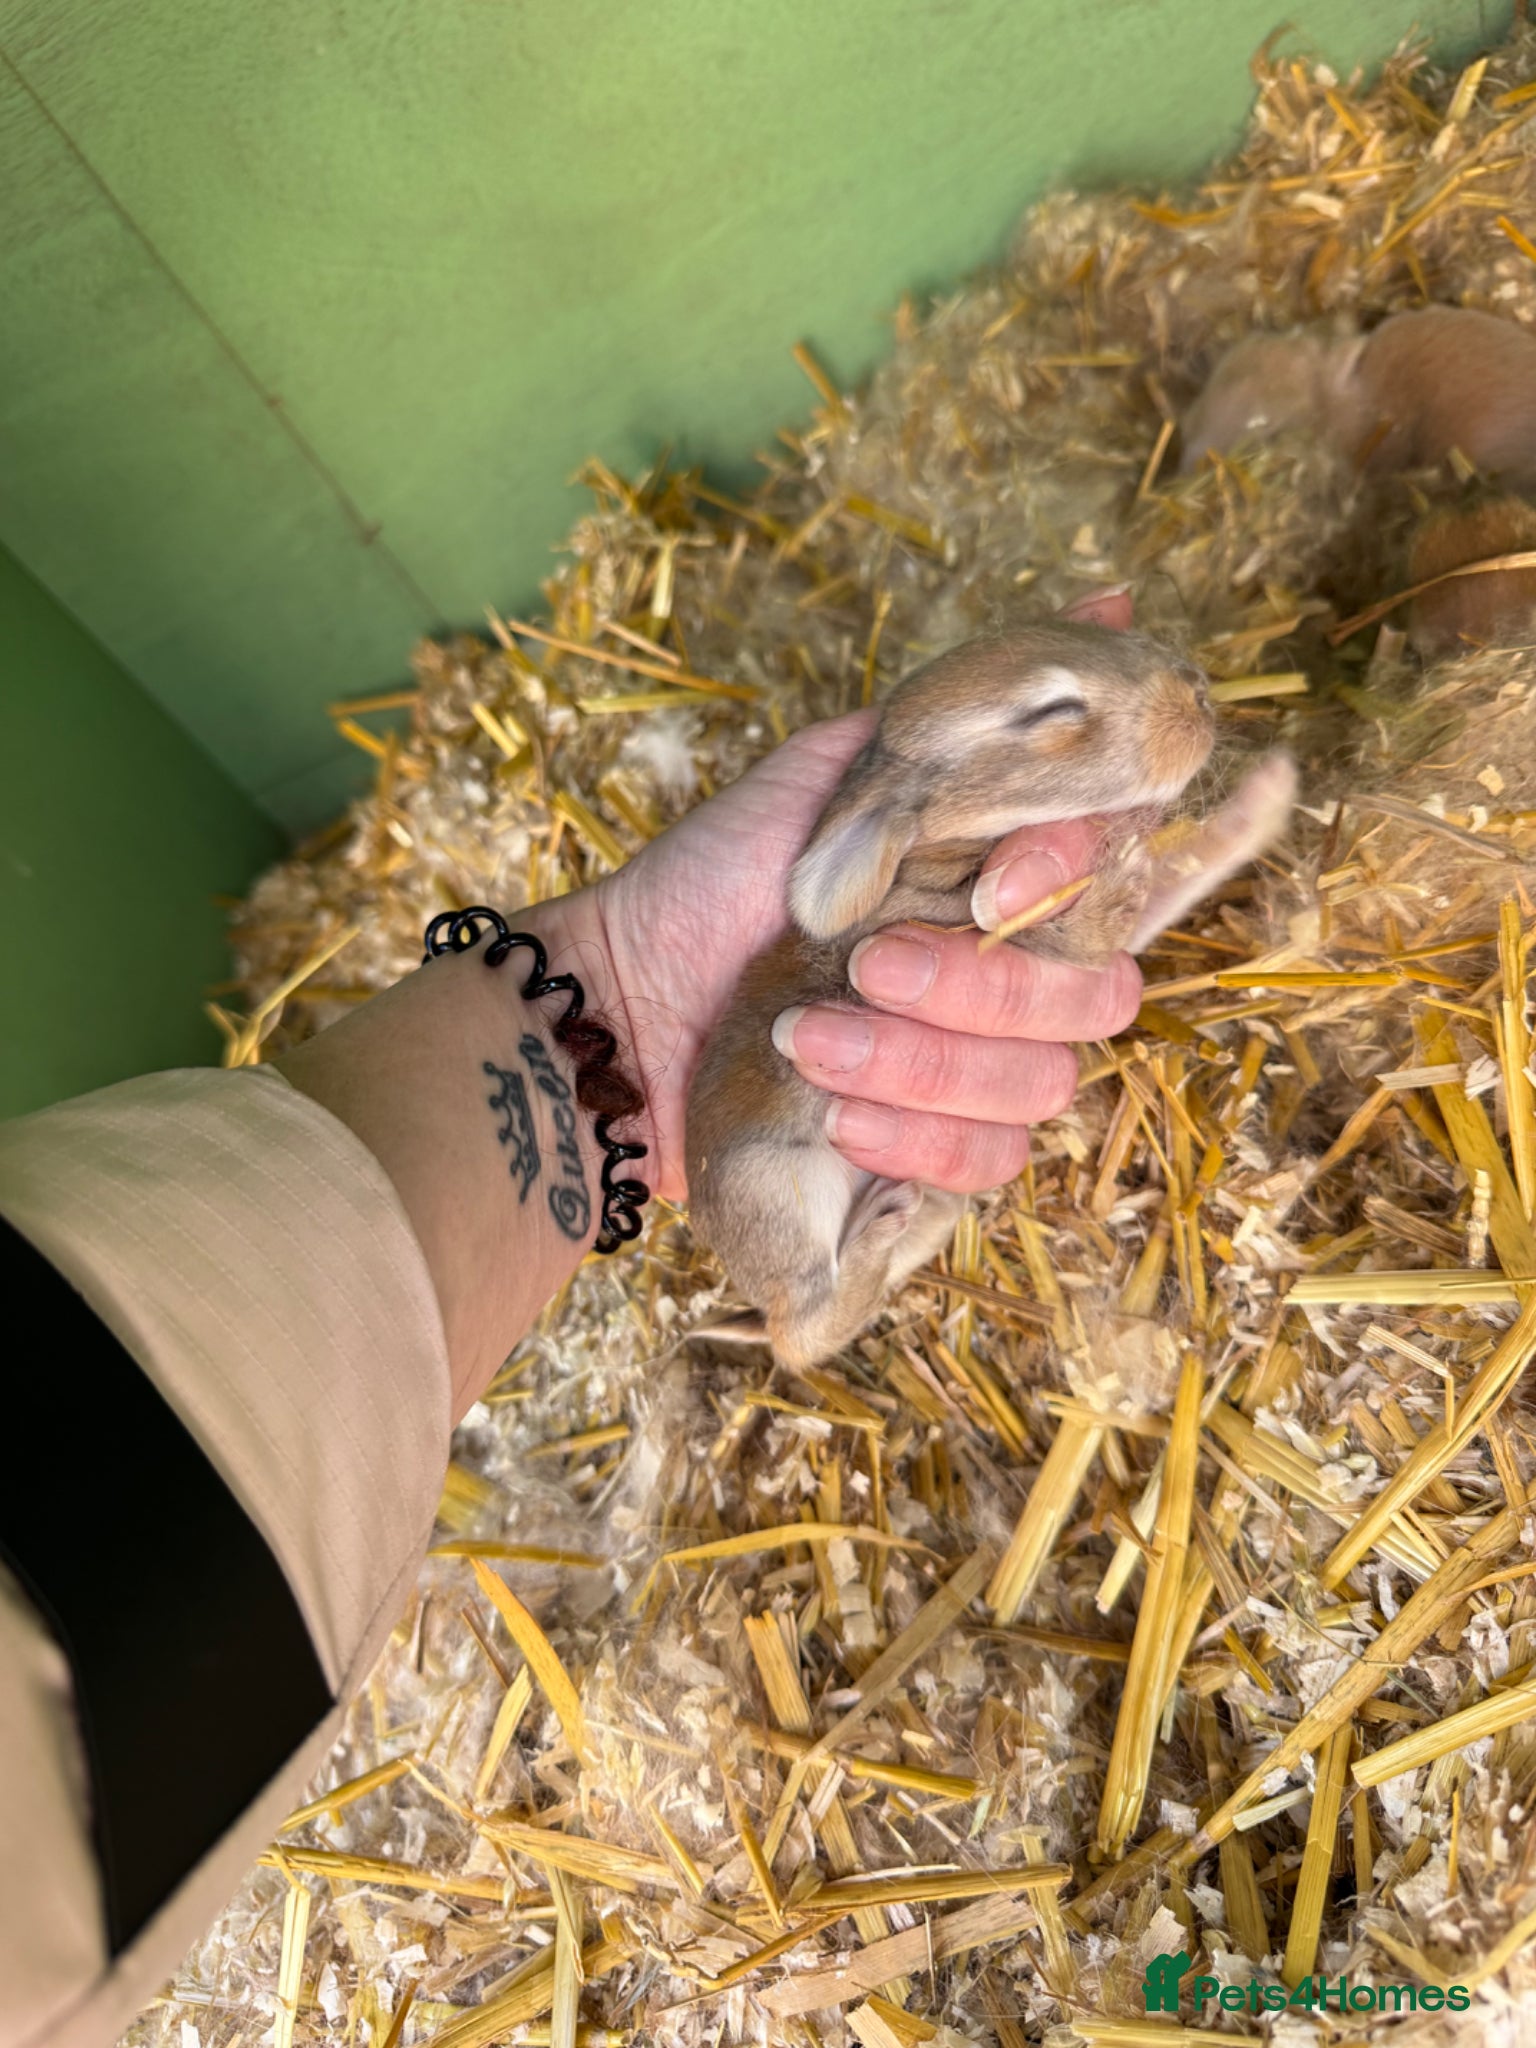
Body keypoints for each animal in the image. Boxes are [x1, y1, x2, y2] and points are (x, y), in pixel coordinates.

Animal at [683, 621, 1297, 1370]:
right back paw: (876, 1230)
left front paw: (1270, 785)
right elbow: (1156, 883)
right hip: (780, 1182)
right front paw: (1242, 802)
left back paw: (913, 1210)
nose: (1199, 693)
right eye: (1053, 711)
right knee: (800, 1334)